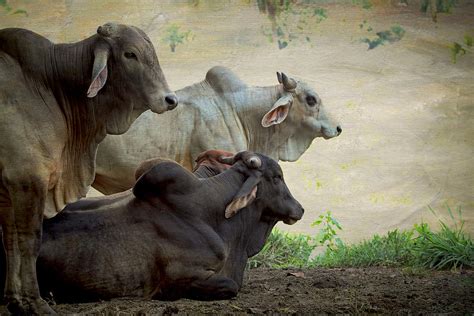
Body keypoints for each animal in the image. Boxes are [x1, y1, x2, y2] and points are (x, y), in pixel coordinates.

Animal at [0, 22, 177, 314]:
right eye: (130, 54)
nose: (170, 99)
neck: (49, 86)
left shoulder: (7, 191)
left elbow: (11, 242)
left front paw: (13, 301)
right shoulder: (27, 179)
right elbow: (28, 240)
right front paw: (34, 302)